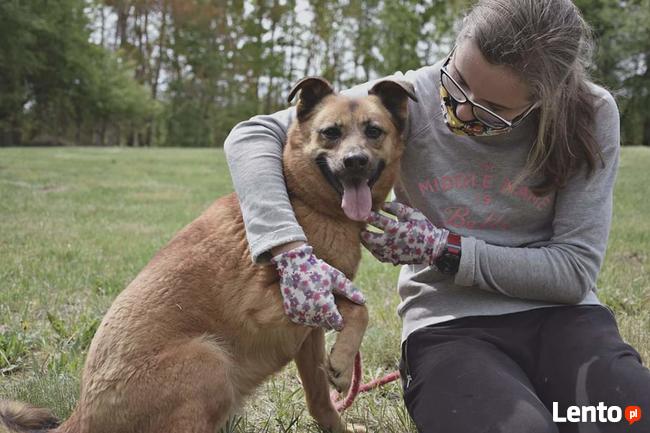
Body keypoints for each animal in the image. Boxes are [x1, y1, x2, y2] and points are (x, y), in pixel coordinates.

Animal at [0, 77, 416, 432]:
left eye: (373, 131)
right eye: (330, 132)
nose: (355, 161)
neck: (305, 202)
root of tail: (83, 416)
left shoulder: (309, 330)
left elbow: (320, 397)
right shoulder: (279, 304)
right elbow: (358, 308)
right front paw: (344, 366)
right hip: (209, 361)